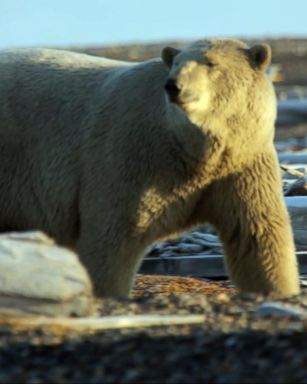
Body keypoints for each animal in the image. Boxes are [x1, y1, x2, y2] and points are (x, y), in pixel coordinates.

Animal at [0, 39, 300, 296]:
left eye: (211, 63)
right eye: (177, 63)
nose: (174, 86)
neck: (191, 148)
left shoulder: (242, 163)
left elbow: (256, 233)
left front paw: (279, 290)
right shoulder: (132, 157)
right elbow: (114, 238)